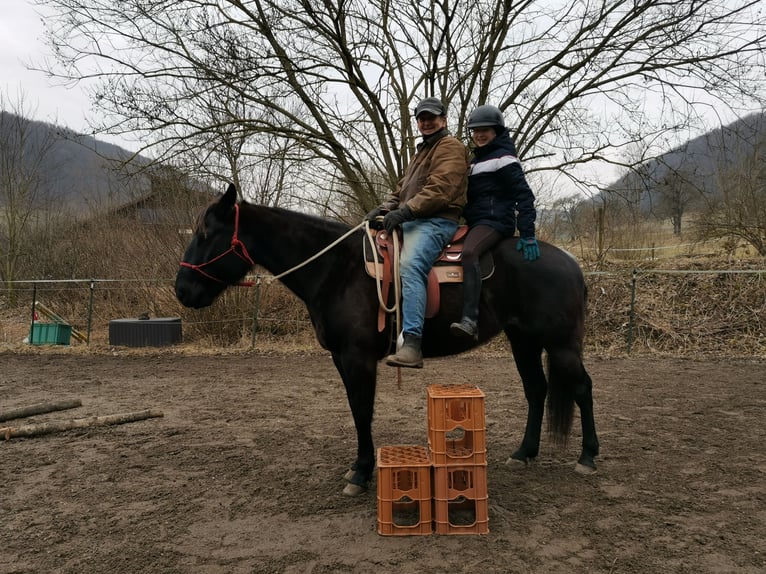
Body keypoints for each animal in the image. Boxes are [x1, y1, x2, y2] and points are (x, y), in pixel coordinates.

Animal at [176, 187, 600, 498]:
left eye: (207, 234)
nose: (182, 290)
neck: (337, 269)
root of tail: (571, 263)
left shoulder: (357, 357)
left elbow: (362, 410)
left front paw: (361, 473)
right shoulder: (340, 358)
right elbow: (356, 409)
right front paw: (357, 466)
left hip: (560, 345)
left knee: (581, 388)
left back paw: (588, 456)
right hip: (523, 341)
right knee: (537, 390)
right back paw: (524, 453)